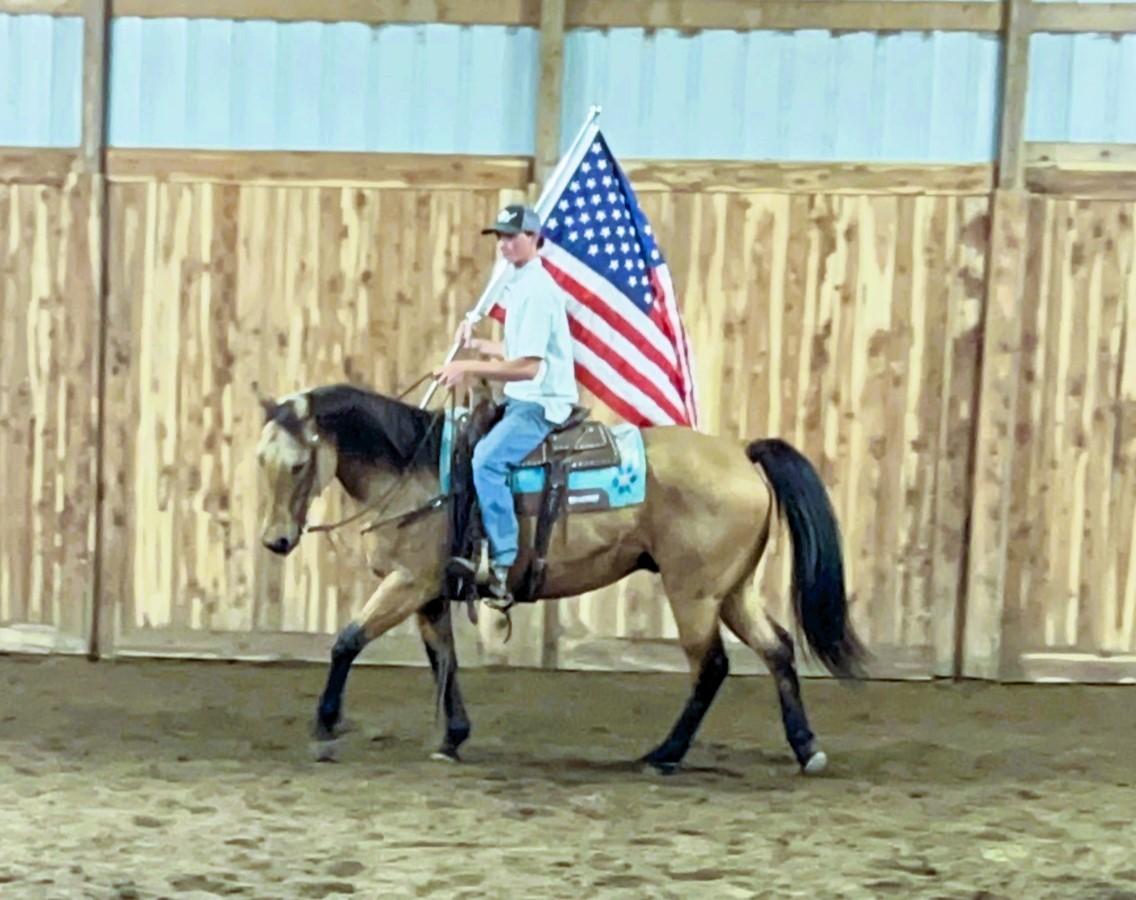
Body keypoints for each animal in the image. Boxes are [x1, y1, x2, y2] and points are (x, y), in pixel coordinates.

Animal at [255, 382, 865, 774]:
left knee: (711, 666)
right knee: (777, 648)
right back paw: (805, 748)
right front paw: (452, 738)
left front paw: (325, 730)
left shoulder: (408, 582)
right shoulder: (429, 593)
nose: (276, 541)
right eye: (261, 461)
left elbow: (346, 642)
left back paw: (663, 755)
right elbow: (442, 661)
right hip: (730, 591)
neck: (417, 470)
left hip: (693, 595)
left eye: (297, 464)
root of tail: (742, 453)